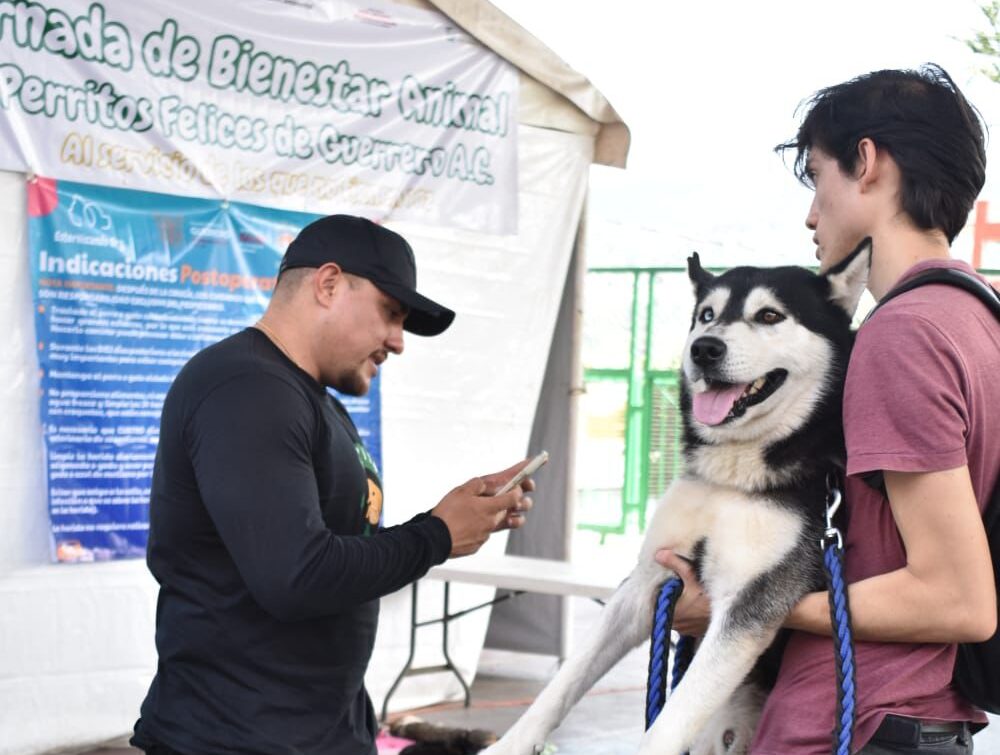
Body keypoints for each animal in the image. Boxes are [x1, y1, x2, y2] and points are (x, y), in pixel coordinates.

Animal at [482, 244, 868, 755]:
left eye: (769, 315)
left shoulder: (749, 604)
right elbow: (562, 685)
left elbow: (670, 720)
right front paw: (507, 745)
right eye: (706, 315)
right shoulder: (646, 582)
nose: (704, 348)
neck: (731, 480)